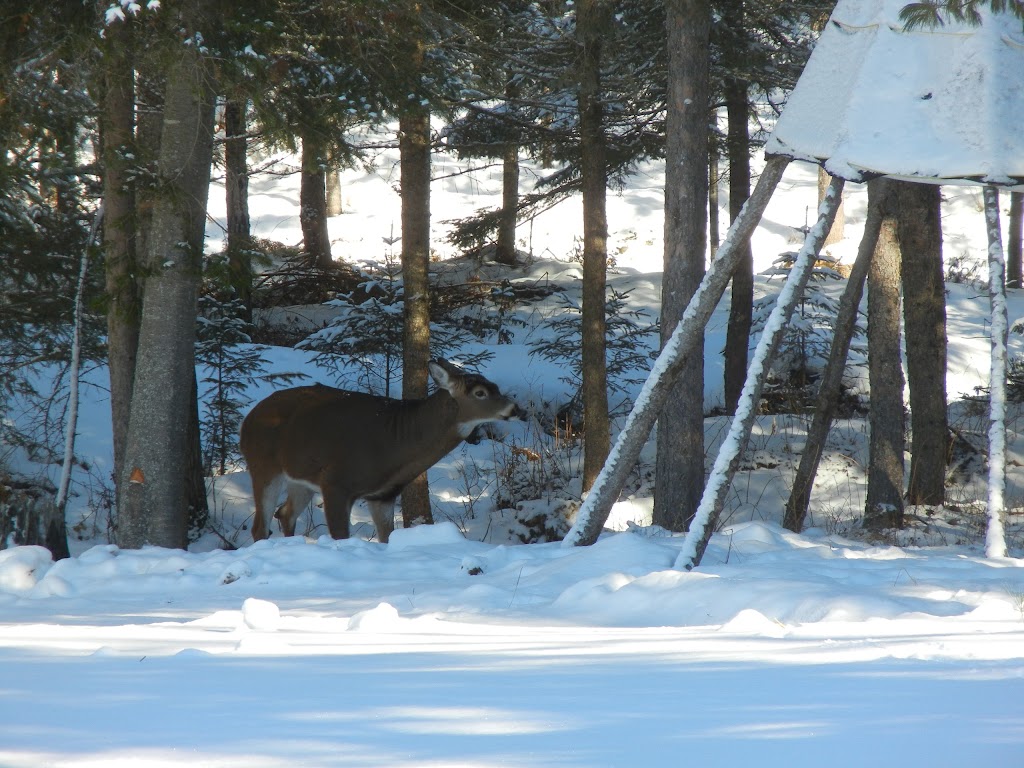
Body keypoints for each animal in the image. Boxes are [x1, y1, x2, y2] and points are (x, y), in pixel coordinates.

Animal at [238, 362, 520, 548]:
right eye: (480, 393)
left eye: (495, 387)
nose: (514, 408)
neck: (395, 444)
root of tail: (247, 419)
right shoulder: (336, 483)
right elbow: (341, 536)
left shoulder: (383, 495)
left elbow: (386, 538)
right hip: (263, 465)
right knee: (260, 525)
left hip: (301, 479)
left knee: (285, 514)